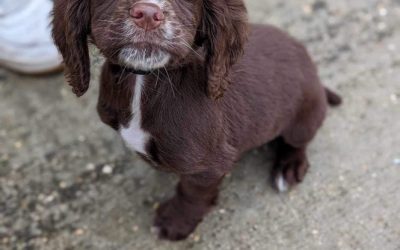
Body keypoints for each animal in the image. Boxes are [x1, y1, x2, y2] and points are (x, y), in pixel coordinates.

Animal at [53, 0, 340, 241]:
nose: (147, 14)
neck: (145, 81)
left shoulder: (208, 164)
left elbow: (190, 193)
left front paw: (174, 222)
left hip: (304, 115)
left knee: (298, 140)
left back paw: (288, 166)